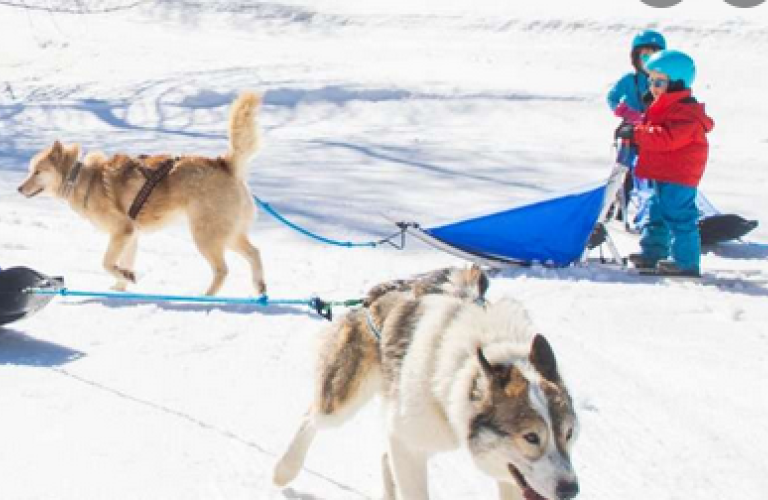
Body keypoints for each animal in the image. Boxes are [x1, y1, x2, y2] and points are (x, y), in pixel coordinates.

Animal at [17, 92, 264, 294]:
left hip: (206, 236)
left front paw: (125, 277)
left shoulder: (122, 231)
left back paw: (205, 297)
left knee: (222, 269)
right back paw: (260, 288)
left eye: (37, 172)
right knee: (254, 252)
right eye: (30, 170)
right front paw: (120, 286)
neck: (81, 178)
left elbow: (107, 263)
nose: (18, 189)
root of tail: (224, 164)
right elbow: (122, 263)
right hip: (227, 235)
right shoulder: (131, 236)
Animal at [272, 268, 580, 500]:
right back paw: (285, 468)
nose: (571, 490)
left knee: (385, 458)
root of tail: (376, 294)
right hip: (345, 400)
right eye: (531, 437)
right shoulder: (408, 444)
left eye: (568, 433)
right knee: (312, 417)